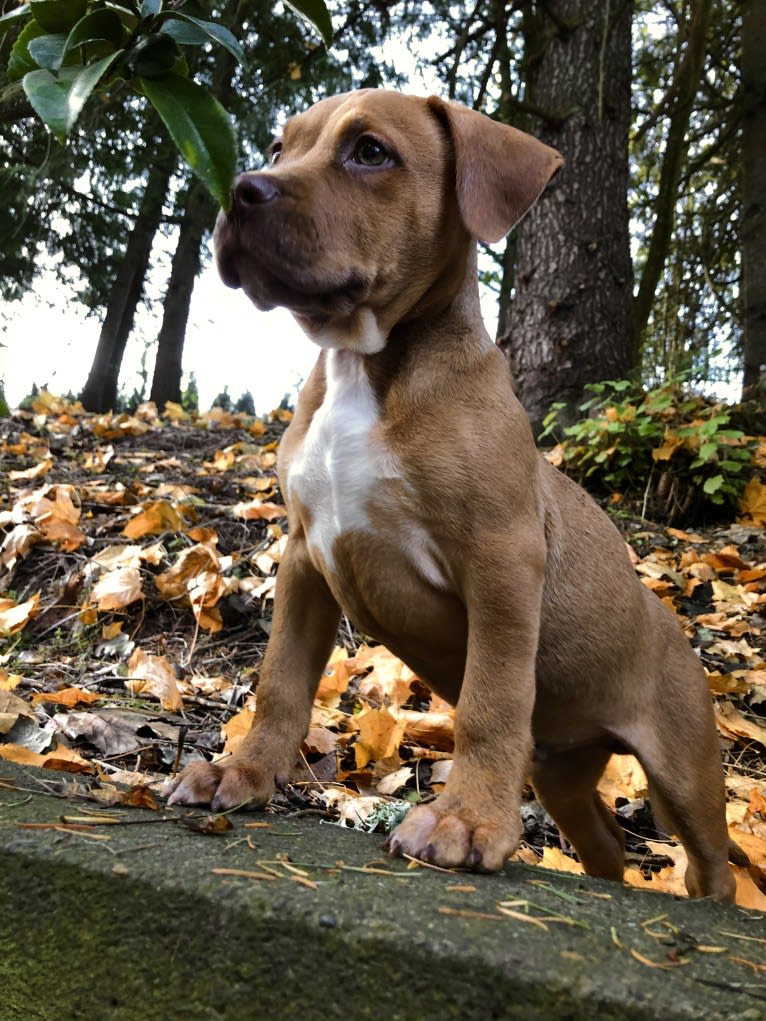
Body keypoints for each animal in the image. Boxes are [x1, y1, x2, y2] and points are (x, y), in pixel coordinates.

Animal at [166, 89, 739, 902]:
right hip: (562, 773)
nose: (241, 189)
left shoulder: (501, 564)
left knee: (710, 866)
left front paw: (465, 823)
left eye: (370, 152)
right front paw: (241, 773)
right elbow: (280, 682)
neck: (364, 364)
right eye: (280, 147)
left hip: (685, 773)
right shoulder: (305, 558)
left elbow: (489, 702)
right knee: (605, 844)